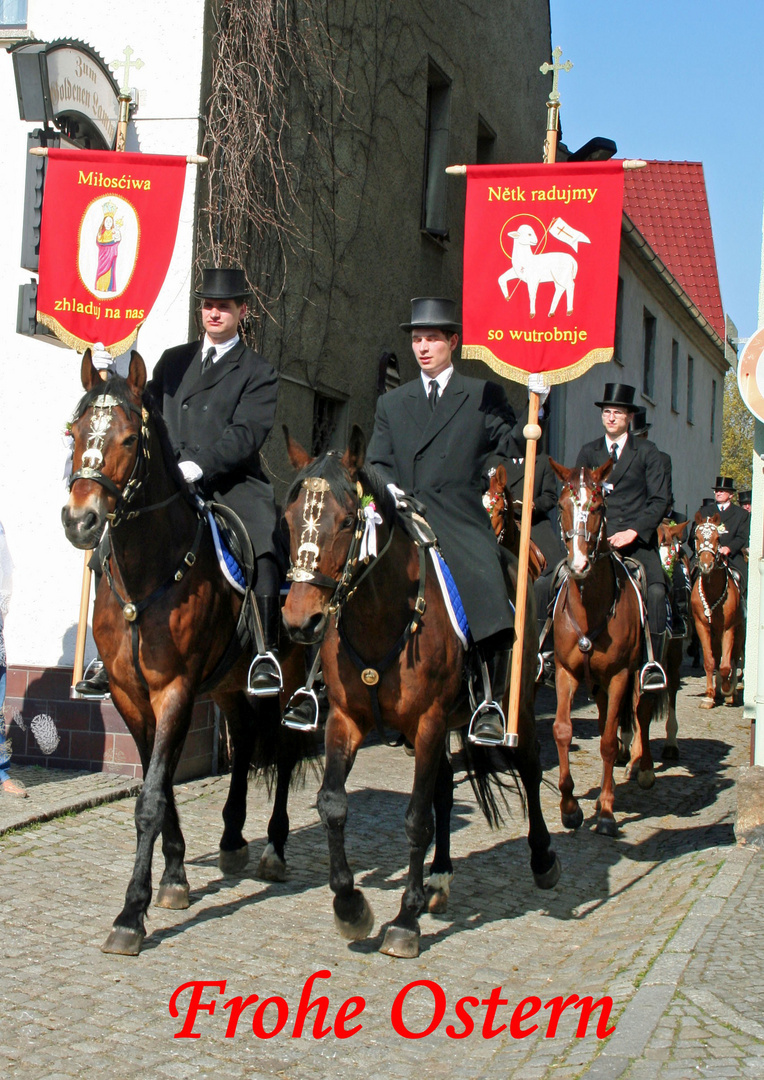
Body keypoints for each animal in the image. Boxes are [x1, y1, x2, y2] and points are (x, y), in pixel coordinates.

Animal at [60, 352, 313, 954]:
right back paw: (231, 837)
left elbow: (152, 795)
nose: (80, 521)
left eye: (129, 438)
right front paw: (174, 878)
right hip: (226, 684)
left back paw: (273, 849)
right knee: (243, 742)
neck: (149, 567)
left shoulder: (173, 689)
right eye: (73, 433)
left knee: (283, 753)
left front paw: (131, 914)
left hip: (287, 680)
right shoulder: (131, 696)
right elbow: (162, 782)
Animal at [280, 425, 561, 959]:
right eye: (289, 518)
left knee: (530, 770)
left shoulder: (428, 721)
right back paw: (440, 877)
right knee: (445, 793)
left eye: (347, 521)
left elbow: (415, 819)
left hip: (514, 706)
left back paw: (542, 860)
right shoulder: (347, 719)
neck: (381, 616)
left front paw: (404, 923)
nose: (300, 621)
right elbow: (333, 804)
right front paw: (350, 906)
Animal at [546, 460, 652, 838]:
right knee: (611, 713)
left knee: (642, 714)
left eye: (598, 507)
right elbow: (562, 730)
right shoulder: (567, 673)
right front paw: (570, 807)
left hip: (638, 675)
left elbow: (606, 741)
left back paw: (643, 769)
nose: (578, 566)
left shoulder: (620, 674)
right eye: (562, 505)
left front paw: (606, 813)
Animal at [691, 514, 743, 708]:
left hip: (739, 631)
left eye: (718, 538)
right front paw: (709, 696)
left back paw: (730, 691)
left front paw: (728, 689)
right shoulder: (702, 627)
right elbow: (709, 661)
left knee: (734, 658)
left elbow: (726, 665)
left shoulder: (729, 629)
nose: (706, 565)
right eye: (696, 537)